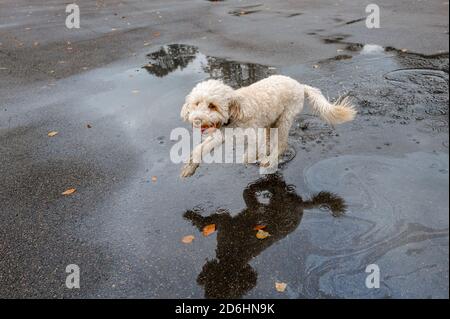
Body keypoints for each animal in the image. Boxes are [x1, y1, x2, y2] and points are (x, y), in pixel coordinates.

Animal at [179, 76, 356, 179]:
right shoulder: (220, 135)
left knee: (282, 145)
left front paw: (257, 157)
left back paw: (269, 160)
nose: (196, 119)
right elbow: (199, 149)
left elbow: (249, 154)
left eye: (212, 105)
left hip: (285, 119)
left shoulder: (253, 134)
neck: (234, 115)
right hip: (271, 121)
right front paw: (190, 168)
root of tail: (300, 85)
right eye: (196, 103)